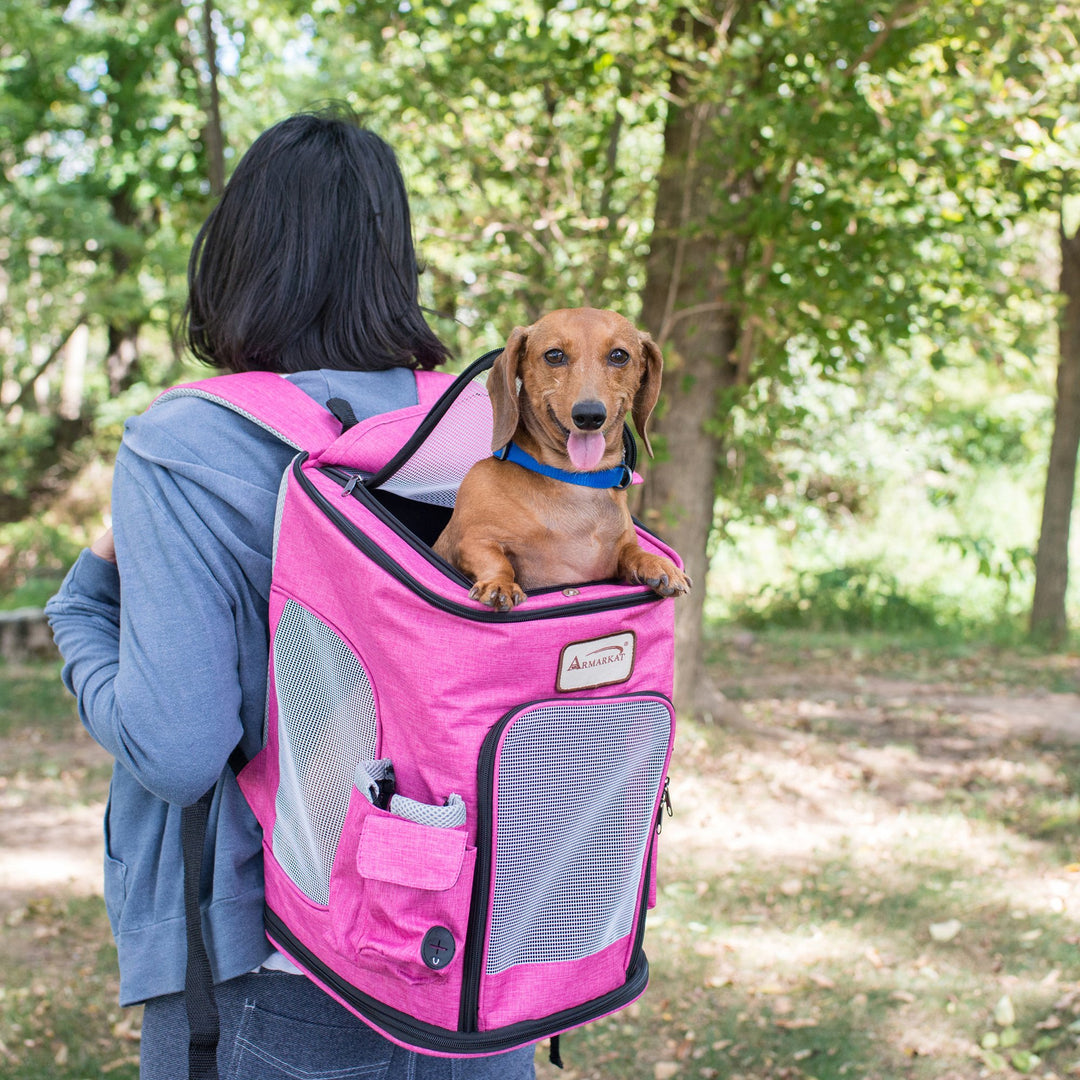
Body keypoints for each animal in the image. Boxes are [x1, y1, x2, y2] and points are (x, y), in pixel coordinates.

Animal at [432, 306, 691, 609]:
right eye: (554, 355)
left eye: (619, 355)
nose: (589, 415)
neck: (575, 480)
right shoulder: (473, 541)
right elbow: (496, 560)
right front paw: (499, 584)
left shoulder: (621, 553)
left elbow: (631, 551)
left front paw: (657, 563)